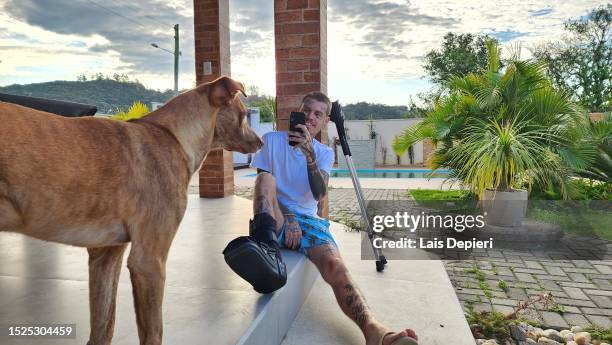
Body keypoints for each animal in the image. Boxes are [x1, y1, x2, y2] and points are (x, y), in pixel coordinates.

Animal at [0, 76, 260, 344]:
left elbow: (103, 327)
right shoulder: (148, 261)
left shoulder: (105, 254)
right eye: (243, 115)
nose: (261, 142)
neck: (174, 136)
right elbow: (153, 332)